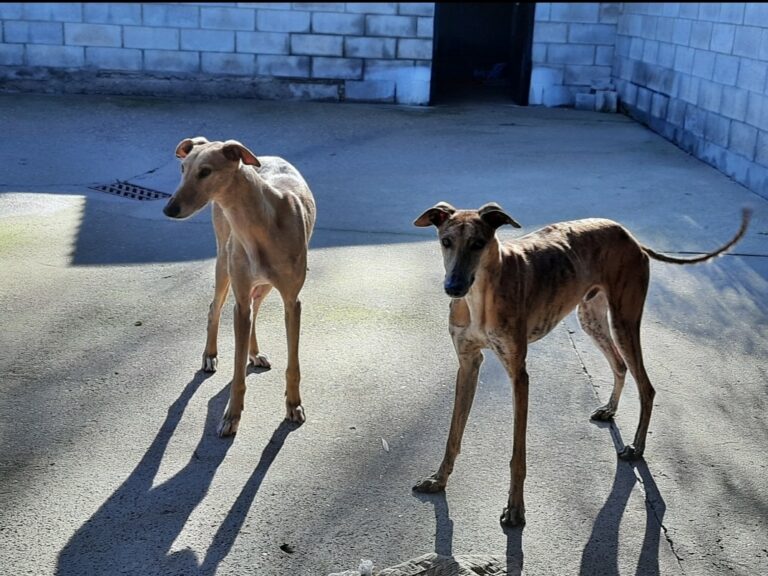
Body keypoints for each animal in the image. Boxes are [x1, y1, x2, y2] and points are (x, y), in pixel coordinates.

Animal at [164, 138, 316, 436]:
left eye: (206, 171)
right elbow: (236, 369)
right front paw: (232, 416)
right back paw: (210, 355)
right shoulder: (240, 300)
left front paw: (294, 406)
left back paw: (254, 354)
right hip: (225, 265)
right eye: (182, 168)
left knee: (254, 309)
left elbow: (293, 364)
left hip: (263, 285)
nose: (169, 209)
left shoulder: (292, 301)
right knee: (215, 308)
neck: (260, 223)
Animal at [414, 202, 752, 528]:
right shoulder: (468, 364)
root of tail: (629, 236)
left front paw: (515, 509)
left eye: (478, 243)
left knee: (647, 387)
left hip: (624, 320)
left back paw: (636, 448)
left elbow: (517, 455)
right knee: (620, 365)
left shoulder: (519, 375)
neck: (480, 296)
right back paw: (609, 409)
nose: (453, 287)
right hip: (592, 318)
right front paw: (438, 480)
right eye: (446, 242)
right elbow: (453, 434)